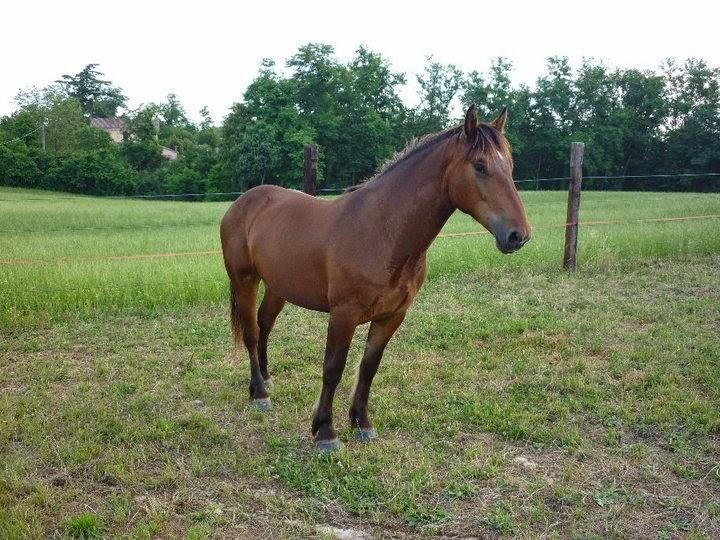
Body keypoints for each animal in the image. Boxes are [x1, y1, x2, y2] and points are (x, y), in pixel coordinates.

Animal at [218, 105, 528, 452]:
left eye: (510, 166)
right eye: (480, 165)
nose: (517, 235)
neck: (381, 231)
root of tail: (244, 202)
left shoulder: (392, 315)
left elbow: (368, 367)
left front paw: (361, 423)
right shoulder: (344, 314)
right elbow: (333, 369)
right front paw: (325, 432)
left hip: (278, 286)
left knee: (265, 324)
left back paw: (267, 378)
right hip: (245, 281)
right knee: (251, 332)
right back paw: (259, 393)